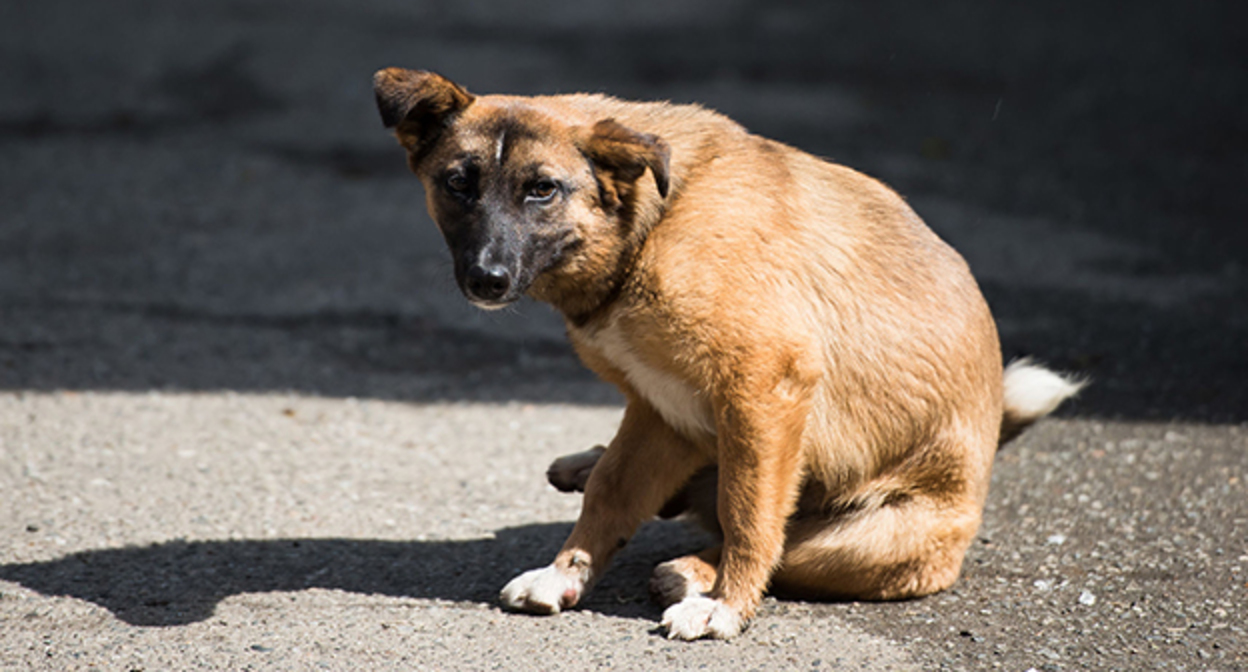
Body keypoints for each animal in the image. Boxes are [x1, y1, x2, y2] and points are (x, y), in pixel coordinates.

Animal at [366, 69, 1083, 637]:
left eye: (543, 189)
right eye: (458, 184)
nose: (485, 279)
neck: (651, 224)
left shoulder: (765, 390)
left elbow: (750, 514)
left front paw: (727, 606)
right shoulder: (660, 408)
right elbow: (612, 492)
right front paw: (565, 574)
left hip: (863, 540)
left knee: (784, 547)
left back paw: (694, 575)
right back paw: (595, 471)